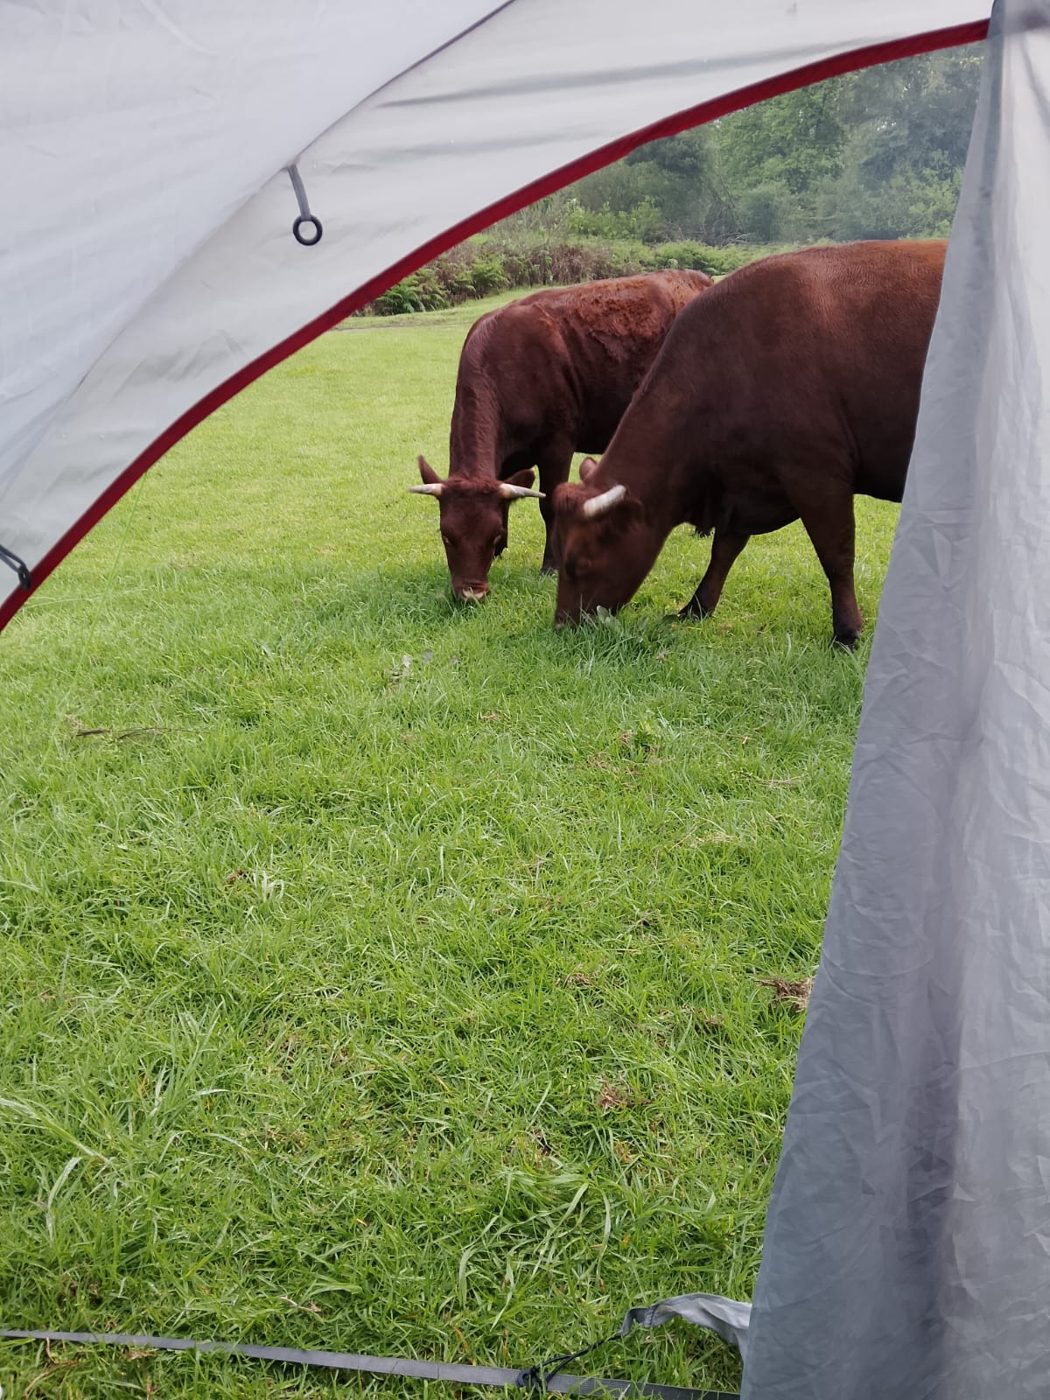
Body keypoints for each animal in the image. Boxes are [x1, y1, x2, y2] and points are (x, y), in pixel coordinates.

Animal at [410, 269, 712, 601]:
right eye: (446, 536)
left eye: (491, 536)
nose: (471, 593)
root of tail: (696, 278)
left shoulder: (557, 444)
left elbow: (549, 505)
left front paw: (550, 565)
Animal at [551, 240, 946, 647]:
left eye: (577, 563)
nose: (561, 626)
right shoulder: (742, 485)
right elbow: (724, 550)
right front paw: (695, 607)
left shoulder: (817, 475)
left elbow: (836, 555)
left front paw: (847, 631)